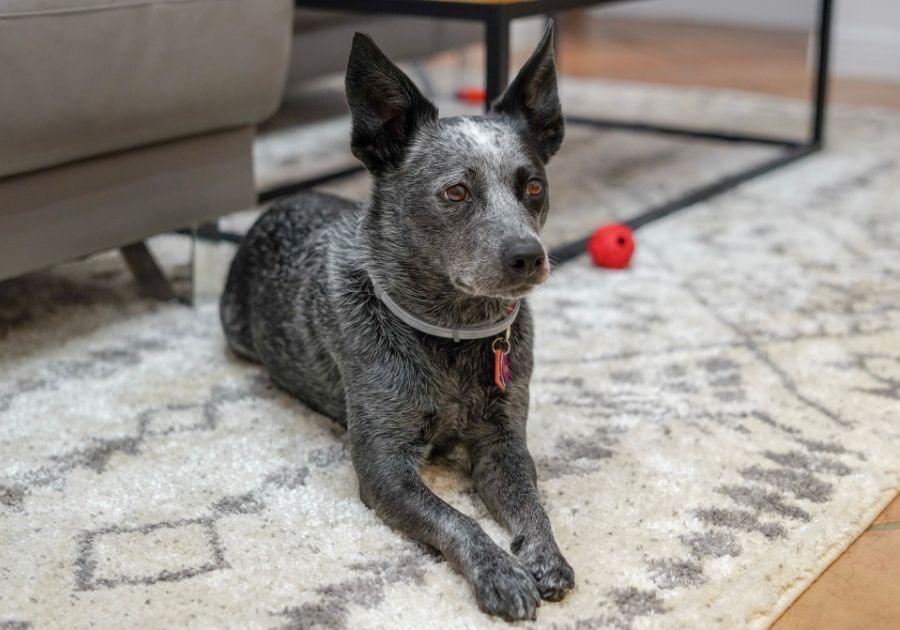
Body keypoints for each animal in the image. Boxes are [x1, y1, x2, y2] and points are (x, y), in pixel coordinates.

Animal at [223, 23, 576, 624]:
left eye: (533, 186)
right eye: (456, 192)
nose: (529, 255)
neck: (452, 334)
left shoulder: (502, 442)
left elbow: (531, 500)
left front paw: (545, 554)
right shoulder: (383, 467)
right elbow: (456, 520)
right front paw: (500, 572)